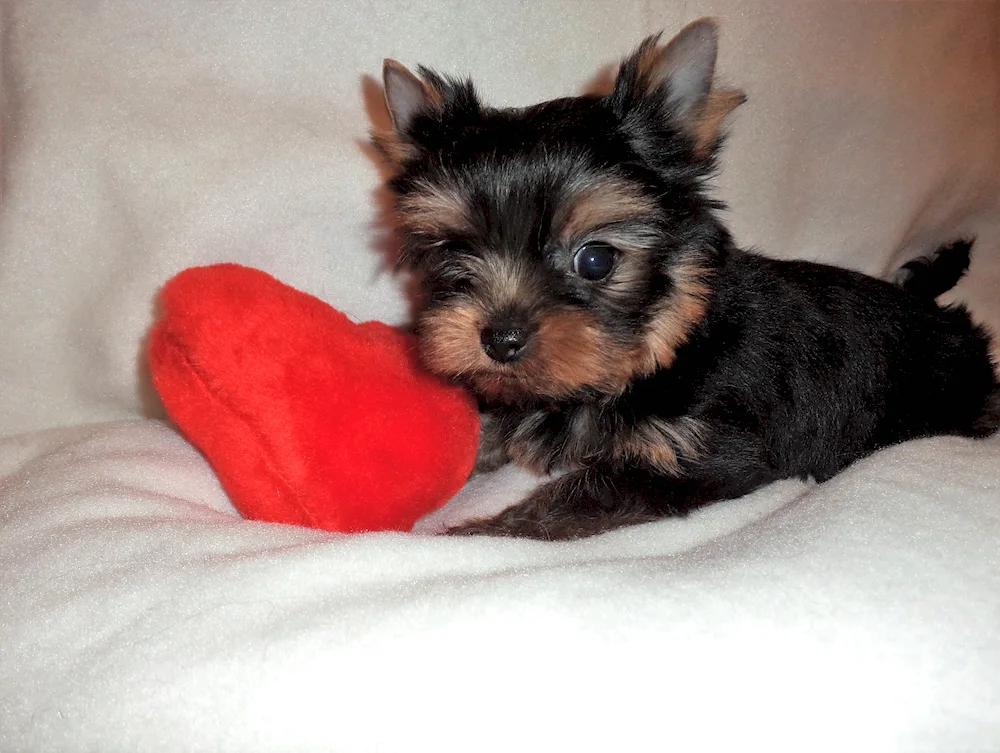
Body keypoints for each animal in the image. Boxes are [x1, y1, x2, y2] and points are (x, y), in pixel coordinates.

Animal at [376, 16, 1000, 536]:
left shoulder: (698, 454)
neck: (667, 343)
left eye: (595, 260)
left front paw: (471, 534)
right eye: (451, 253)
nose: (500, 338)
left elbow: (577, 496)